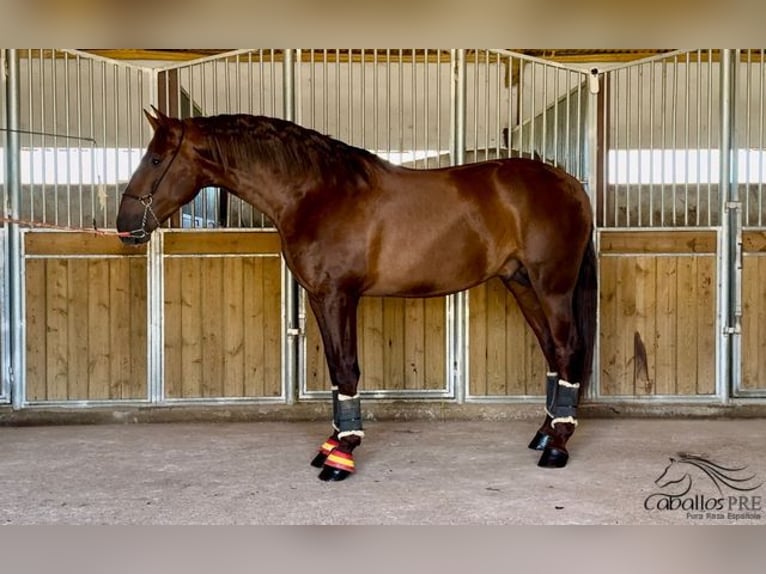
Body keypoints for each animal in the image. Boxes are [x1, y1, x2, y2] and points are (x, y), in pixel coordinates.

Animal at [117, 108, 596, 482]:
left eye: (155, 158)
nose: (124, 226)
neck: (318, 194)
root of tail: (570, 184)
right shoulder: (319, 298)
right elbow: (334, 369)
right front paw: (330, 445)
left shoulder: (338, 296)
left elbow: (347, 368)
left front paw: (342, 455)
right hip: (522, 284)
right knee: (553, 353)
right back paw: (544, 434)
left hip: (552, 287)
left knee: (567, 349)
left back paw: (558, 446)